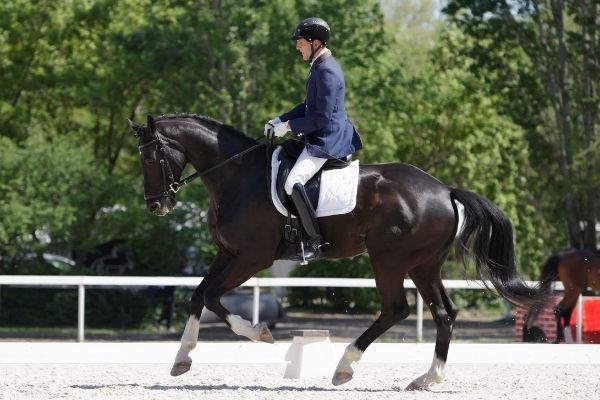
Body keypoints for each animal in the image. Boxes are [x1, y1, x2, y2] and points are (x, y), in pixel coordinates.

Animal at [130, 113, 548, 390]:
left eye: (151, 158)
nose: (156, 206)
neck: (237, 177)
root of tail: (445, 191)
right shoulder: (227, 254)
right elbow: (199, 295)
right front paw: (182, 358)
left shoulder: (252, 258)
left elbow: (213, 297)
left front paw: (260, 333)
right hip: (424, 266)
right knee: (444, 312)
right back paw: (428, 377)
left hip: (389, 260)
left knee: (396, 309)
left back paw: (344, 366)